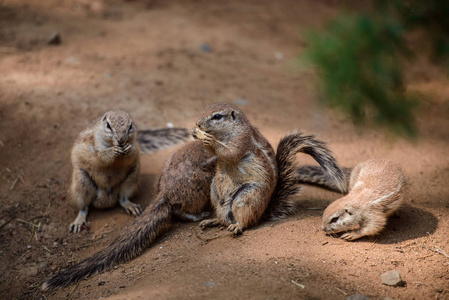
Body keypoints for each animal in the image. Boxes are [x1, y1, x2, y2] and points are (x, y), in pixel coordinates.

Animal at [191, 103, 344, 234]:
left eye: (217, 116)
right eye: (205, 109)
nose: (198, 123)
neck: (226, 133)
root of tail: (263, 212)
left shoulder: (242, 140)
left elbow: (231, 154)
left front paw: (209, 140)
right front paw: (195, 133)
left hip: (247, 196)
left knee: (245, 219)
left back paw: (237, 226)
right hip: (215, 194)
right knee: (224, 218)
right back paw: (213, 221)